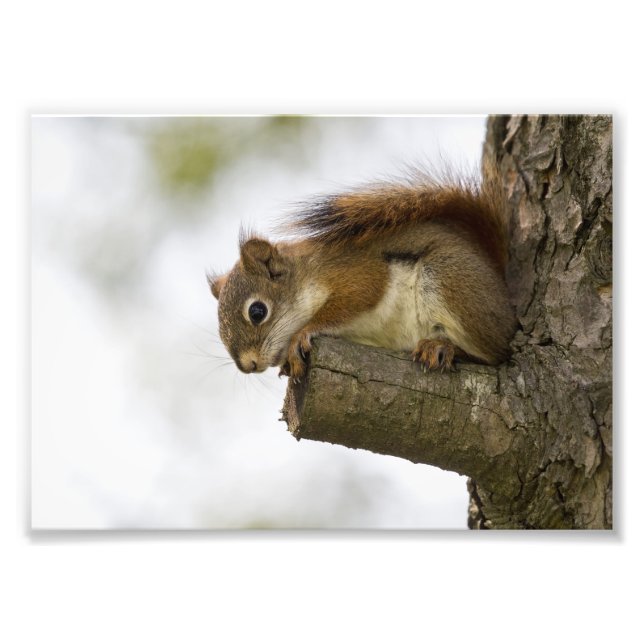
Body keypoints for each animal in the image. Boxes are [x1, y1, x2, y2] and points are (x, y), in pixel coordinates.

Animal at [208, 166, 516, 380]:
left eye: (257, 311)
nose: (248, 366)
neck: (306, 274)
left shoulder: (355, 272)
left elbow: (357, 296)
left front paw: (302, 334)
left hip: (448, 277)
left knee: (495, 353)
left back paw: (444, 348)